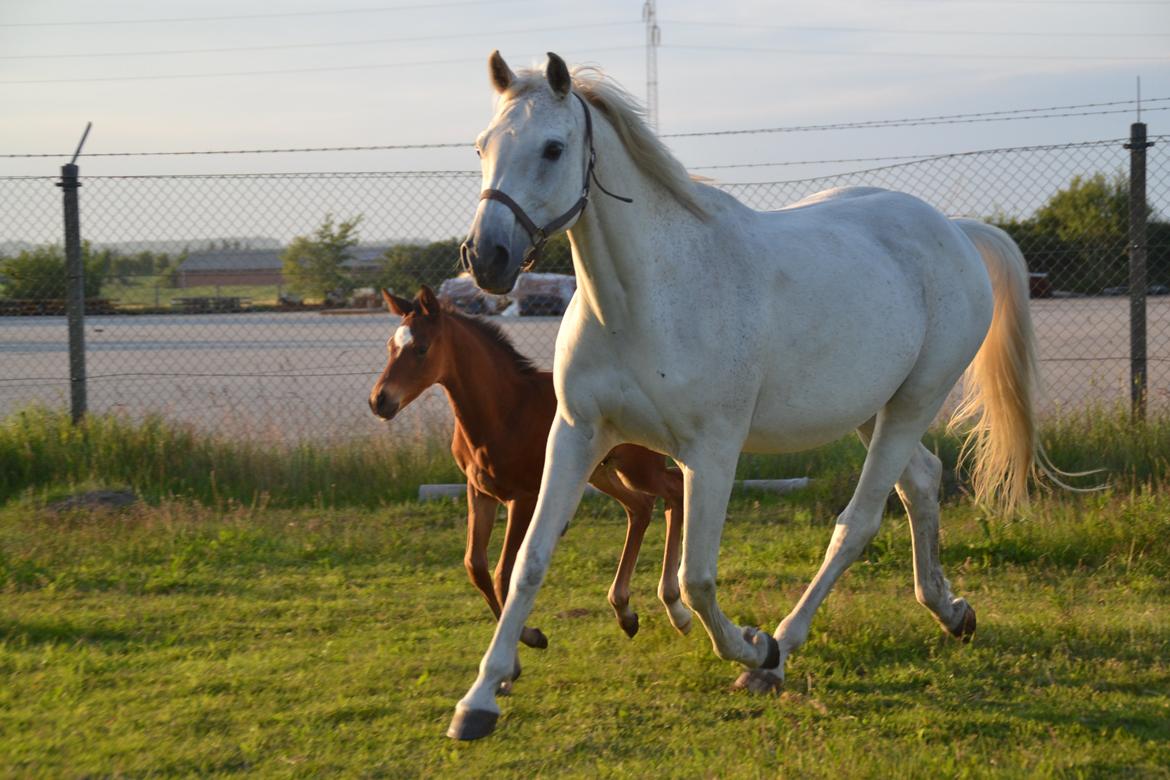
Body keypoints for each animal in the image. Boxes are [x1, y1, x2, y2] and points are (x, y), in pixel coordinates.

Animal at [369, 285, 687, 654]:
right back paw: (625, 612)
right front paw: (525, 635)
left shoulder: (523, 497)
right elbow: (475, 566)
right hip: (603, 471)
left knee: (675, 489)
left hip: (639, 466)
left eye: (421, 348)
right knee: (641, 507)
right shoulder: (479, 491)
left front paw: (530, 636)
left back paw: (675, 606)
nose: (379, 400)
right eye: (390, 346)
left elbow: (503, 573)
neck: (502, 410)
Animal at [449, 51, 1053, 743]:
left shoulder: (710, 453)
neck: (645, 300)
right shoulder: (577, 434)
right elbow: (530, 560)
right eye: (482, 146)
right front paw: (480, 699)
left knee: (859, 522)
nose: (486, 257)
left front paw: (753, 647)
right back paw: (950, 611)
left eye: (553, 148)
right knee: (922, 482)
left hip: (912, 404)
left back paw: (781, 652)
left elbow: (697, 578)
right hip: (870, 411)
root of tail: (954, 231)